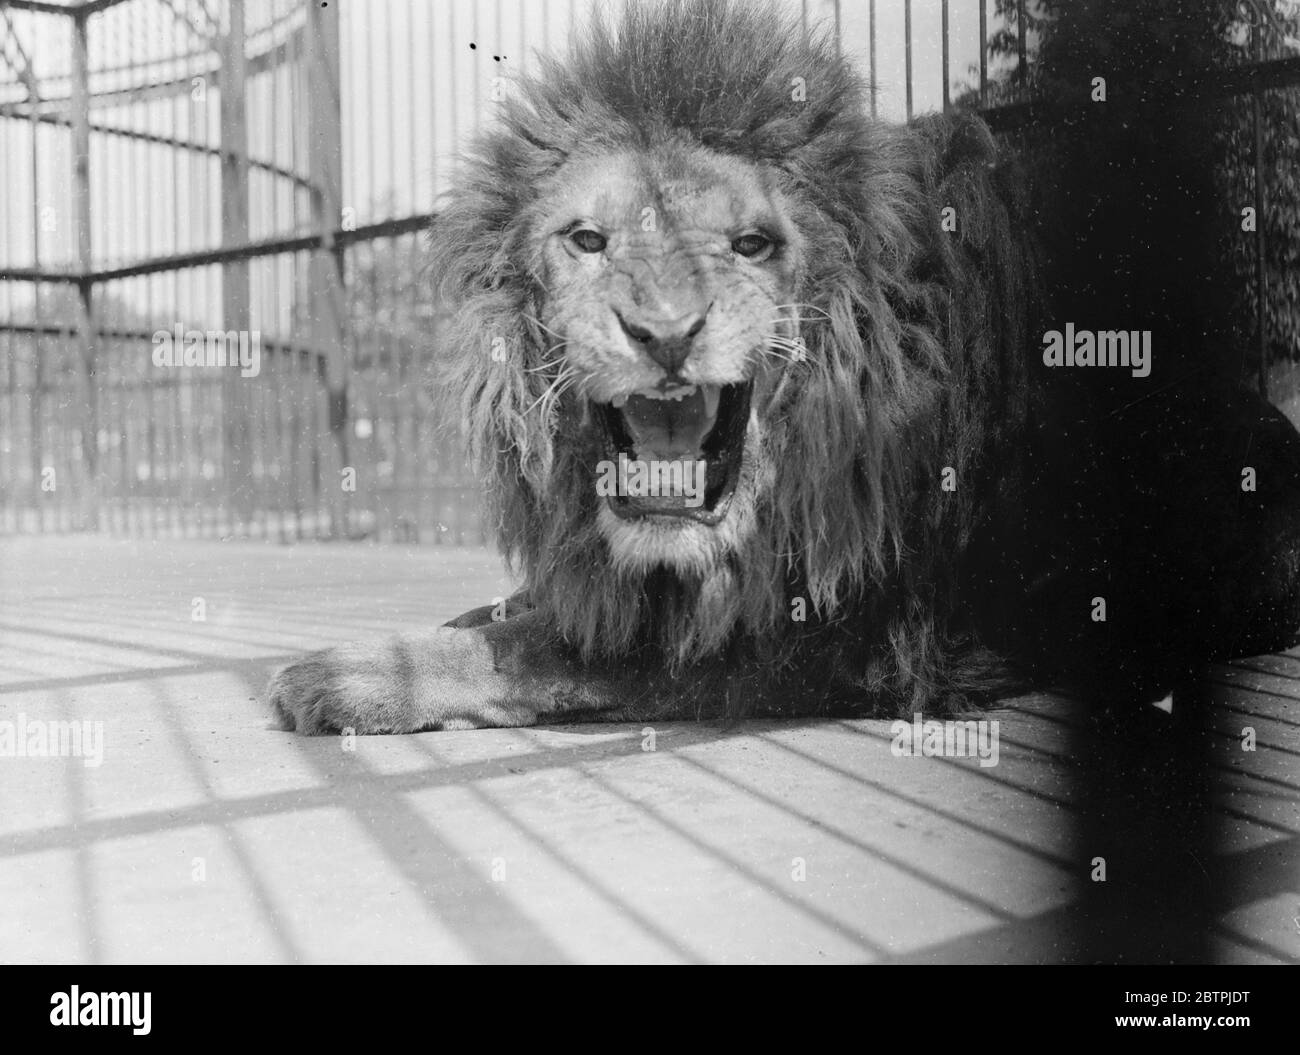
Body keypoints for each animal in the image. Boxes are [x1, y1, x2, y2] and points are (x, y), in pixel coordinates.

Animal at [269, 0, 1300, 732]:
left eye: (752, 244)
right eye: (589, 240)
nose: (664, 332)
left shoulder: (845, 635)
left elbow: (547, 651)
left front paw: (362, 670)